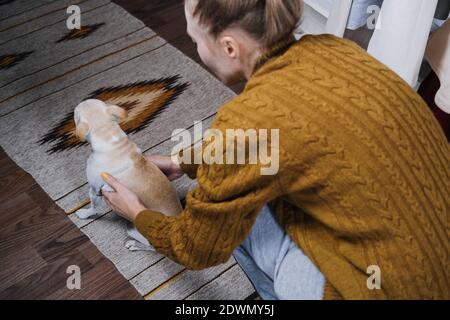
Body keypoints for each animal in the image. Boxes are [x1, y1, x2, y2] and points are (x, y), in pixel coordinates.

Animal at [72, 99, 181, 251]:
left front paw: (84, 214)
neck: (108, 134)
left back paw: (134, 245)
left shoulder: (95, 189)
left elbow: (93, 206)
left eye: (74, 115)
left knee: (153, 247)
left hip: (134, 230)